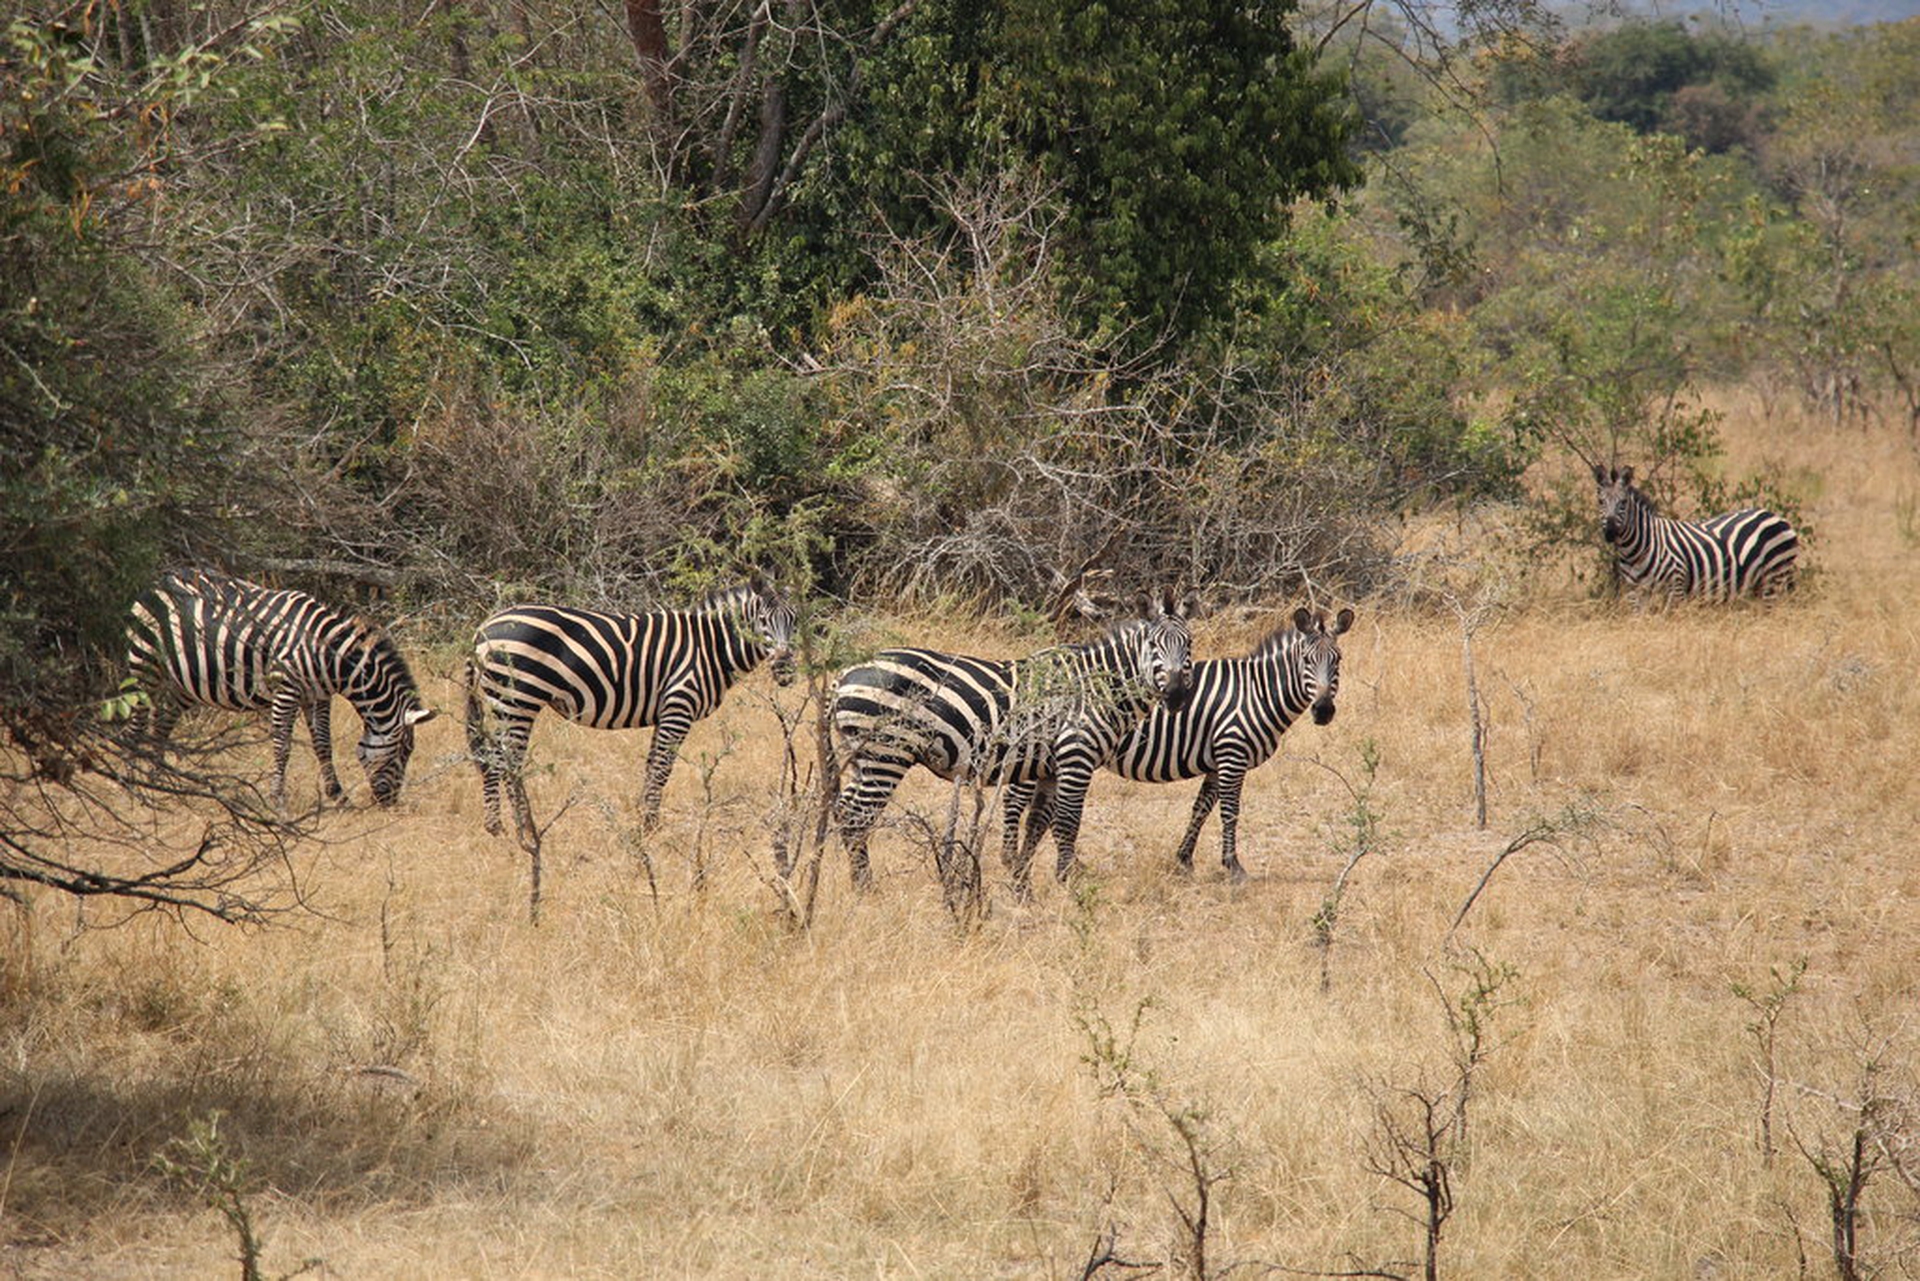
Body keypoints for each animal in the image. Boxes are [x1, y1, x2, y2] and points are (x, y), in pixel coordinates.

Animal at [123, 568, 436, 808]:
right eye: (405, 751)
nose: (390, 802)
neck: (328, 656)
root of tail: (159, 580)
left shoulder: (318, 696)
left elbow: (323, 744)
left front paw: (338, 797)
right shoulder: (286, 690)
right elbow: (282, 746)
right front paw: (278, 801)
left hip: (183, 682)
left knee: (162, 724)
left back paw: (157, 781)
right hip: (144, 663)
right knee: (135, 725)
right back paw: (133, 788)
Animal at [464, 576, 797, 852]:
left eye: (794, 622)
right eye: (763, 621)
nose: (785, 669)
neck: (712, 648)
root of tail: (484, 628)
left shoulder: (665, 713)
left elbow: (651, 767)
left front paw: (644, 821)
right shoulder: (679, 706)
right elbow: (662, 769)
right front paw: (648, 828)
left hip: (507, 703)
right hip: (515, 699)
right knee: (502, 762)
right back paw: (508, 830)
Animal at [830, 590, 1195, 891]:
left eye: (1189, 645)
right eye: (1153, 646)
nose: (1177, 696)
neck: (1097, 688)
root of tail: (846, 673)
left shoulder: (1050, 768)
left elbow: (1037, 825)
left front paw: (1022, 884)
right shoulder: (1076, 756)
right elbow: (1068, 823)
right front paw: (1068, 884)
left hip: (862, 757)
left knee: (844, 810)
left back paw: (850, 880)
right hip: (886, 753)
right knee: (856, 819)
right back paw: (865, 889)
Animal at [1002, 606, 1352, 883]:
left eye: (1337, 660)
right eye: (1307, 660)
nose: (1323, 711)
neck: (1257, 692)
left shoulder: (1217, 763)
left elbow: (1201, 808)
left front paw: (1183, 859)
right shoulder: (1232, 753)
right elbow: (1230, 811)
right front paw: (1233, 866)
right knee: (1014, 800)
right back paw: (1012, 860)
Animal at [1594, 464, 1798, 602]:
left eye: (1623, 503)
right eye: (1600, 502)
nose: (1610, 532)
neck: (1635, 551)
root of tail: (1777, 516)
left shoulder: (1676, 585)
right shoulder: (1635, 592)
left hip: (1774, 576)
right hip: (1760, 582)